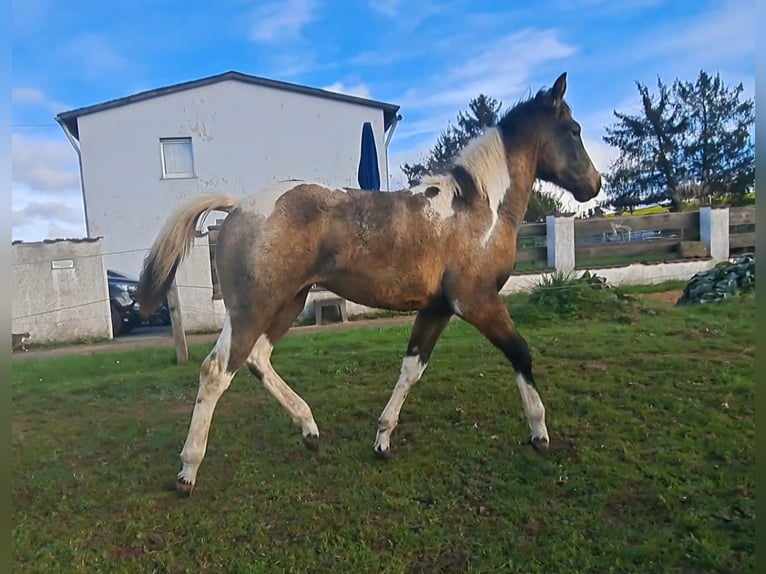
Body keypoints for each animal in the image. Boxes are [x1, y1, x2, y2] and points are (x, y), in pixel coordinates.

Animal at [138, 71, 608, 496]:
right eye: (574, 130)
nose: (594, 184)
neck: (478, 208)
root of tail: (238, 206)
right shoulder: (477, 301)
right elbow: (520, 352)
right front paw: (540, 433)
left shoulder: (437, 308)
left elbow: (412, 368)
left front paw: (382, 439)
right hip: (254, 308)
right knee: (217, 371)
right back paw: (188, 470)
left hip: (286, 302)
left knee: (256, 359)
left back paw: (310, 430)